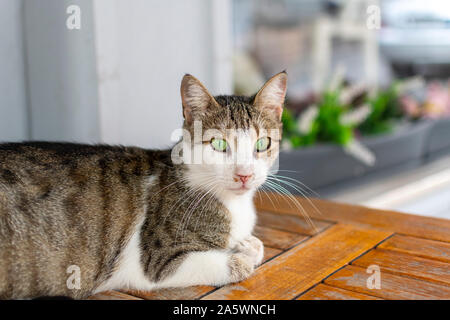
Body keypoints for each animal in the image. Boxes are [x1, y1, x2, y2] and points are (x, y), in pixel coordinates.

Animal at [0, 71, 286, 298]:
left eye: (262, 144)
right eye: (218, 144)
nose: (244, 175)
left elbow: (257, 245)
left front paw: (246, 244)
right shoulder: (157, 261)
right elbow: (238, 264)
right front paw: (241, 254)